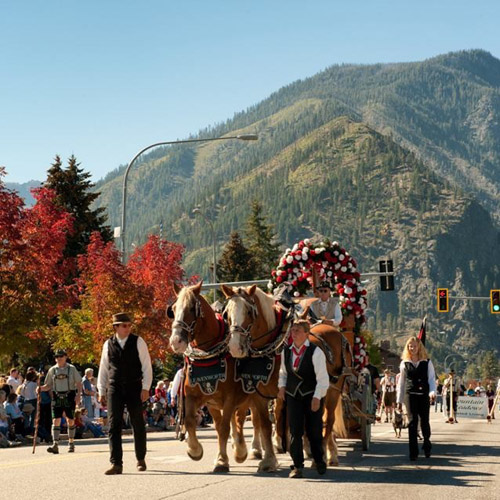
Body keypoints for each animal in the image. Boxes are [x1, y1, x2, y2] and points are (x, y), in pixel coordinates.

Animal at [170, 284, 274, 470]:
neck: (208, 354)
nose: (176, 341)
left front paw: (225, 458)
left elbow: (225, 427)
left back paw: (252, 449)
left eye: (192, 308)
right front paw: (196, 450)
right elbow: (193, 422)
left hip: (251, 396)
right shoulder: (199, 398)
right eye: (173, 309)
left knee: (252, 421)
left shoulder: (231, 397)